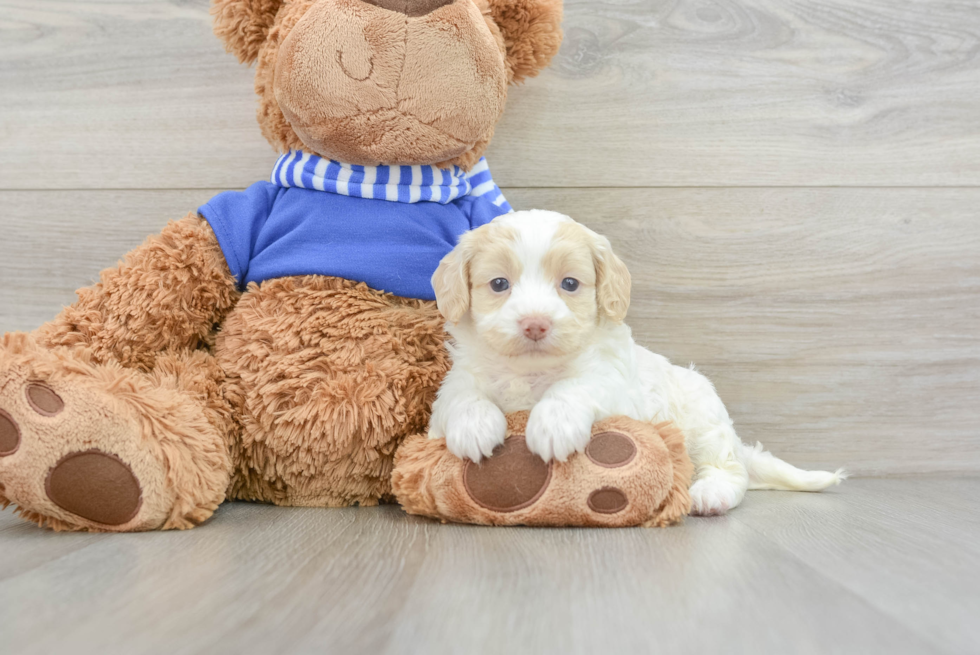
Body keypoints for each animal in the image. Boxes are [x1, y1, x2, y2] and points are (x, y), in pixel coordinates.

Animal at [428, 210, 844, 516]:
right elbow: (461, 395)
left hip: (705, 421)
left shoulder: (614, 386)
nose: (535, 324)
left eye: (570, 284)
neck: (531, 372)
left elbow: (577, 385)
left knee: (727, 465)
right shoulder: (455, 384)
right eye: (499, 284)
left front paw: (553, 424)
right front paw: (474, 426)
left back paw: (712, 492)